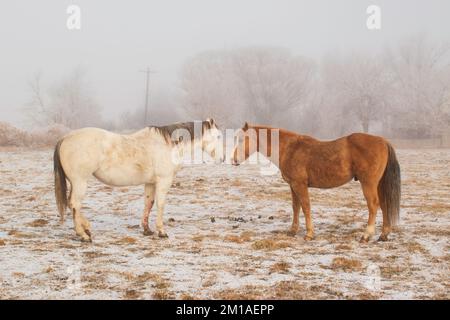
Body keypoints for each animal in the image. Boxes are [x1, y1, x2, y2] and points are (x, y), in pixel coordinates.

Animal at [53, 119, 222, 241]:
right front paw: (161, 231)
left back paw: (86, 228)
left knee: (72, 204)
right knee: (75, 204)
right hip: (80, 182)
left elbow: (149, 203)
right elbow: (160, 204)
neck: (168, 145)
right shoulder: (163, 181)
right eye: (219, 136)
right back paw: (83, 234)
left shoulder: (150, 183)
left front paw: (147, 230)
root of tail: (65, 138)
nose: (222, 158)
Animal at [232, 123, 400, 242]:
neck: (290, 149)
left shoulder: (300, 185)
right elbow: (296, 207)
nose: (233, 160)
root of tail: (383, 141)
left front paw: (309, 234)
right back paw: (384, 235)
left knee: (373, 205)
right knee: (384, 204)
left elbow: (306, 207)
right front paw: (292, 231)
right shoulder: (293, 186)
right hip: (378, 184)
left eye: (241, 139)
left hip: (368, 184)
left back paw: (366, 235)